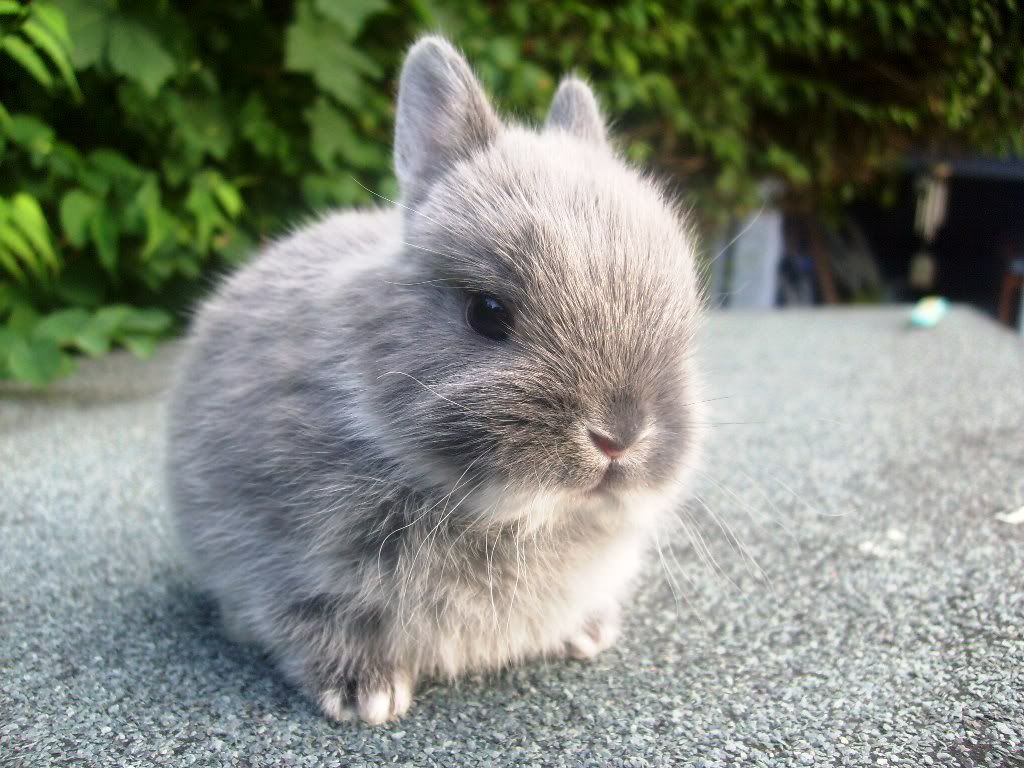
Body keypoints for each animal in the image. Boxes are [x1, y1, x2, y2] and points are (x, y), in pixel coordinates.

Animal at [167, 35, 705, 725]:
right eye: (487, 312)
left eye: (684, 317)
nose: (619, 437)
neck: (513, 515)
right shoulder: (281, 561)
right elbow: (308, 620)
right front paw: (365, 695)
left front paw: (590, 633)